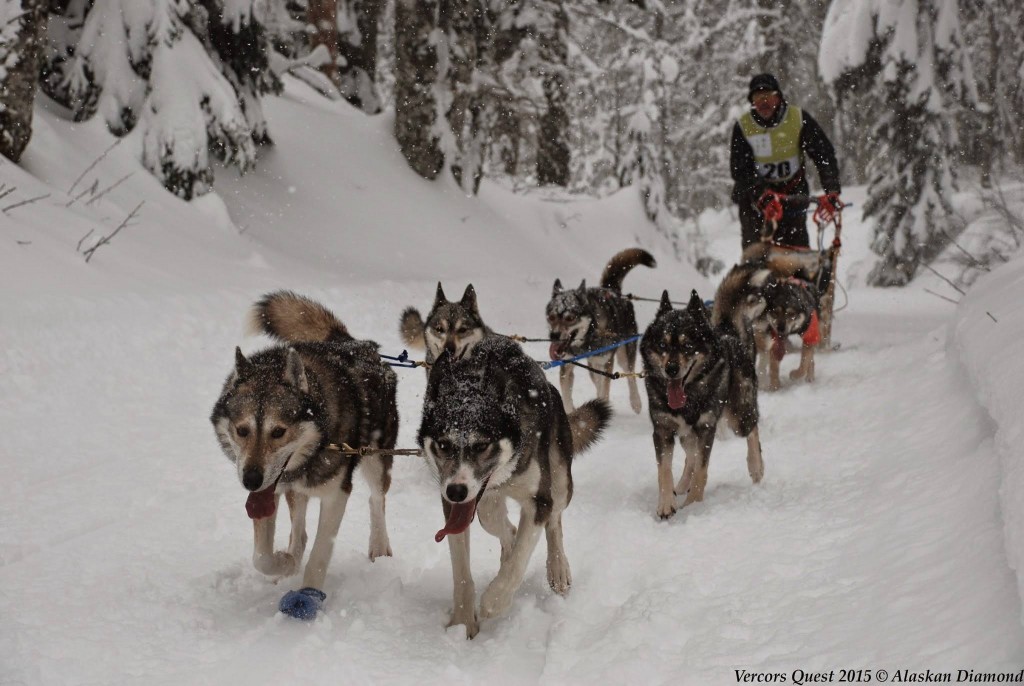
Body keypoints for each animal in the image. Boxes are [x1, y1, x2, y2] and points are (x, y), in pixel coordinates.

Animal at [209, 290, 397, 622]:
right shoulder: (269, 492)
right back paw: (291, 557)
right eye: (242, 430)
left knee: (376, 499)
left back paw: (378, 545)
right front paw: (283, 563)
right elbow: (261, 556)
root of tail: (352, 342)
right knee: (300, 529)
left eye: (278, 431)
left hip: (377, 457)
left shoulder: (337, 494)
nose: (251, 480)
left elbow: (321, 552)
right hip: (293, 491)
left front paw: (308, 594)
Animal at [415, 337, 606, 638]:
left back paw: (557, 567)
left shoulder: (538, 500)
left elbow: (519, 562)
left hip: (560, 479)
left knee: (554, 522)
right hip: (487, 505)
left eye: (481, 445)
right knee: (501, 525)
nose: (456, 491)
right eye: (443, 444)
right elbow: (462, 573)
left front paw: (494, 601)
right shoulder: (455, 507)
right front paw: (462, 622)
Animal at [544, 249, 655, 415]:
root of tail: (612, 289)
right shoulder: (567, 364)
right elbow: (567, 394)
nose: (554, 335)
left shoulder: (607, 362)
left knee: (630, 375)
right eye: (551, 317)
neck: (590, 332)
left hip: (623, 354)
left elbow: (605, 388)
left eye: (570, 318)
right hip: (593, 364)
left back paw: (635, 402)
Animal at [634, 290, 765, 522]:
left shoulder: (706, 428)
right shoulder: (662, 431)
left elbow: (702, 470)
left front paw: (694, 504)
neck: (689, 397)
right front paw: (666, 504)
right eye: (662, 345)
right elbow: (664, 470)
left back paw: (756, 466)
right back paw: (682, 484)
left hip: (738, 416)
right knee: (690, 456)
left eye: (688, 346)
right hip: (686, 434)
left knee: (752, 430)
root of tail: (727, 332)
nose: (671, 369)